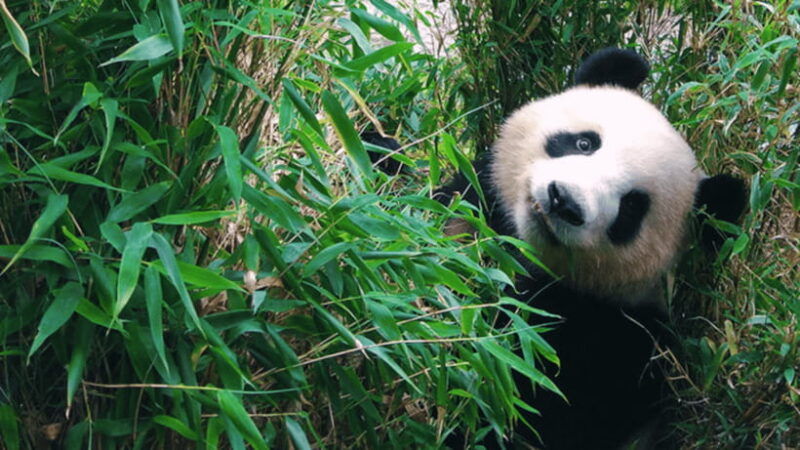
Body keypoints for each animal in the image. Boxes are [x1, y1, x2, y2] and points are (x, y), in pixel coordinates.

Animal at [430, 48, 747, 449]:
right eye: (585, 143)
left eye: (632, 207)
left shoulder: (613, 345)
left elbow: (522, 402)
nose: (563, 200)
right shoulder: (472, 205)